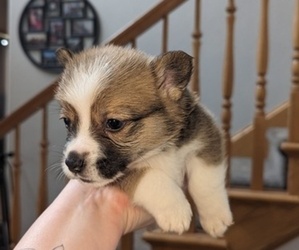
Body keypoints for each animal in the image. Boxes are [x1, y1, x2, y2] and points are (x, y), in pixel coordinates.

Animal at [56, 45, 234, 238]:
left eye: (114, 123)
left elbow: (205, 182)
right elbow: (150, 176)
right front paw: (175, 210)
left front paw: (216, 217)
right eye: (66, 122)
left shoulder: (206, 138)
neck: (158, 148)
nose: (72, 162)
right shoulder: (126, 174)